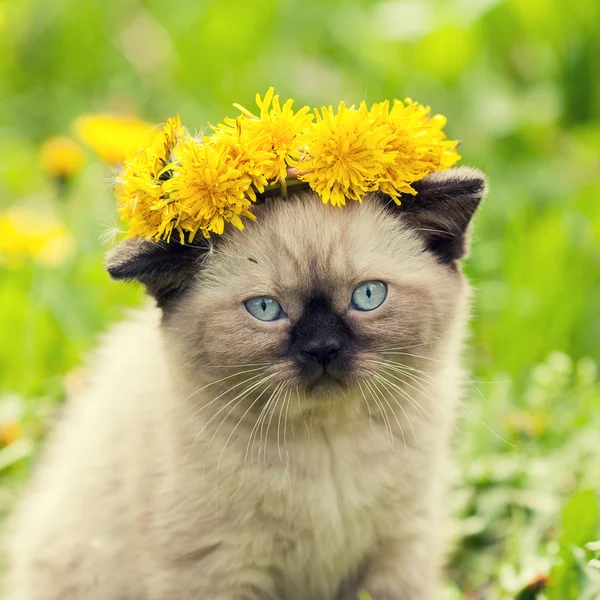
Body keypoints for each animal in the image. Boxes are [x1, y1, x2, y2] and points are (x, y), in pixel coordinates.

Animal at [1, 165, 488, 600]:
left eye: (368, 296)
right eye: (265, 309)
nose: (323, 349)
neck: (328, 448)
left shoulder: (401, 551)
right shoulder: (219, 568)